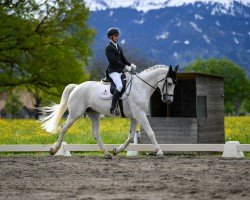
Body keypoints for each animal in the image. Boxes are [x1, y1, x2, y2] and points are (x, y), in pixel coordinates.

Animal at [40, 65, 178, 159]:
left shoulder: (134, 117)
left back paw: (107, 154)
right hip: (75, 113)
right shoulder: (140, 115)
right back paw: (54, 150)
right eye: (169, 82)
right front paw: (159, 152)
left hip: (94, 114)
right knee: (64, 128)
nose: (169, 100)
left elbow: (130, 137)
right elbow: (151, 133)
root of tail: (77, 86)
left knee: (95, 133)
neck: (140, 87)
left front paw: (116, 150)